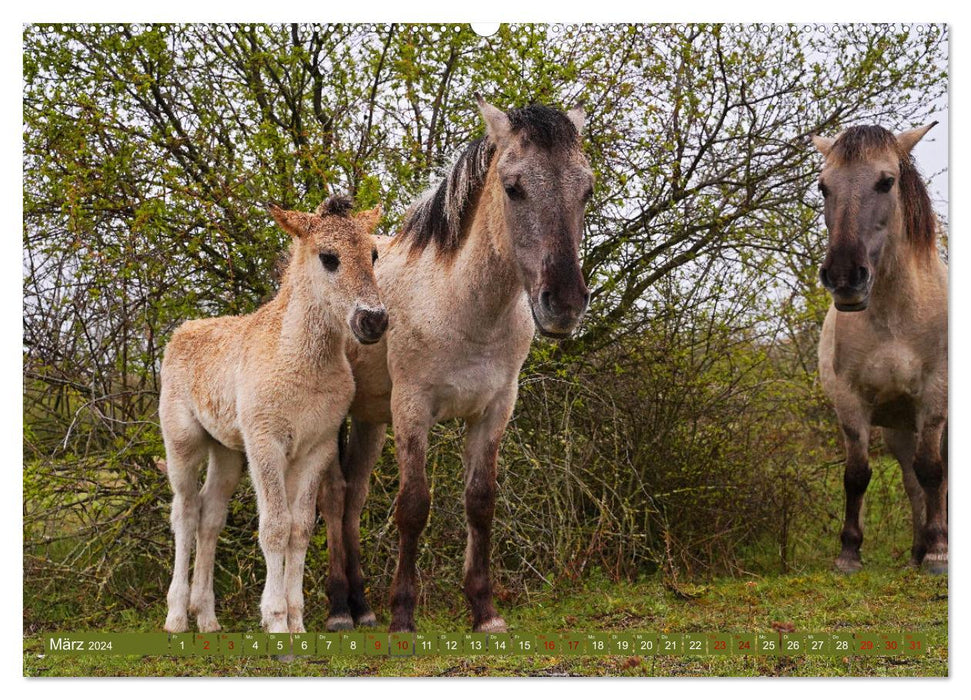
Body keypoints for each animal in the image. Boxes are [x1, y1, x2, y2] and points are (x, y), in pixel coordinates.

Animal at [160, 197, 388, 636]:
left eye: (373, 254)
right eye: (328, 258)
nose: (373, 320)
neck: (299, 358)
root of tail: (182, 331)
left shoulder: (316, 448)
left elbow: (300, 529)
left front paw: (296, 620)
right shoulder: (266, 444)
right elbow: (275, 527)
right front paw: (275, 618)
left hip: (228, 452)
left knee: (211, 516)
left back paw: (207, 617)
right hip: (183, 443)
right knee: (185, 512)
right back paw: (177, 616)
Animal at [318, 95, 592, 632]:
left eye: (586, 190)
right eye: (513, 187)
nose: (565, 305)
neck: (460, 303)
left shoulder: (494, 410)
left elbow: (481, 502)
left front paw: (484, 611)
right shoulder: (413, 409)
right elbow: (412, 506)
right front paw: (404, 616)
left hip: (369, 420)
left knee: (354, 497)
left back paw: (362, 607)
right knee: (335, 495)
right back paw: (339, 609)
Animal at [812, 124, 948, 576]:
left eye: (886, 182)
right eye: (823, 187)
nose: (843, 277)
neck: (895, 317)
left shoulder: (935, 400)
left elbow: (933, 471)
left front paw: (940, 553)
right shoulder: (851, 402)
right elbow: (858, 474)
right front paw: (849, 553)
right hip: (899, 428)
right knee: (910, 481)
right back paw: (916, 551)